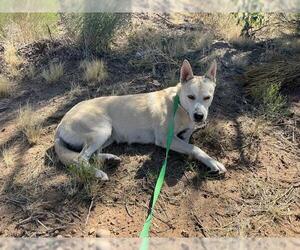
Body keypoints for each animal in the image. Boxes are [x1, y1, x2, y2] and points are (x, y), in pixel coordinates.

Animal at [55, 59, 226, 180]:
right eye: (191, 97)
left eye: (207, 98)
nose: (199, 116)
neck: (179, 104)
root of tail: (60, 123)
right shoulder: (165, 138)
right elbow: (195, 148)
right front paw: (212, 162)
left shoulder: (184, 133)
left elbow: (189, 138)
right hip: (101, 130)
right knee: (80, 158)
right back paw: (98, 173)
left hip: (108, 136)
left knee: (93, 154)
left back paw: (109, 158)